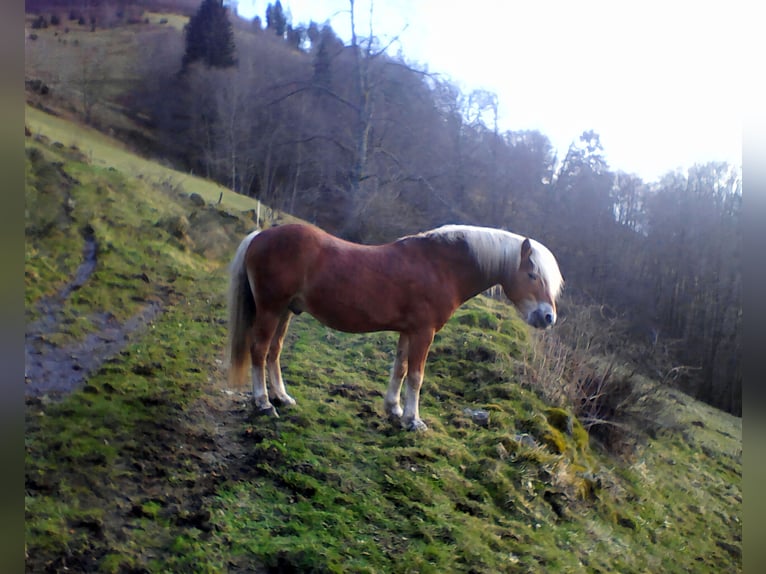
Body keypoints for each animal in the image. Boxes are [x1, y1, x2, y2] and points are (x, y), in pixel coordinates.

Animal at [228, 225, 564, 432]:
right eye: (532, 275)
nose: (548, 317)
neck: (440, 267)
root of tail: (261, 235)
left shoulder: (409, 331)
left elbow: (399, 369)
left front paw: (394, 410)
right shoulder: (424, 332)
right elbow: (416, 376)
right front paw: (414, 421)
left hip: (286, 311)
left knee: (273, 352)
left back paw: (282, 398)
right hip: (271, 309)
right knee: (259, 350)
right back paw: (262, 403)